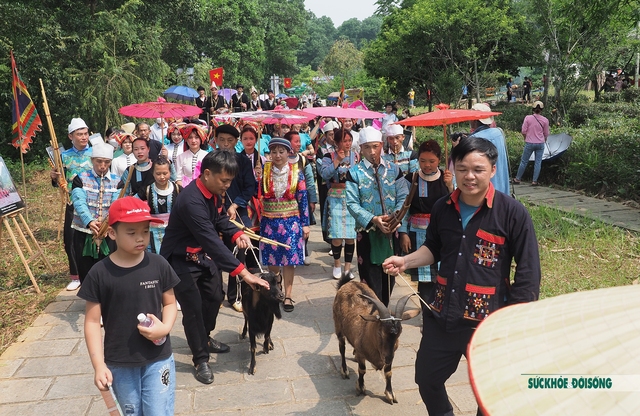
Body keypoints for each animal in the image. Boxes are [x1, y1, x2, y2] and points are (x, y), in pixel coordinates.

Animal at [332, 276, 422, 404]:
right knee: (342, 348)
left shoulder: (391, 353)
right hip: (338, 326)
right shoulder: (362, 353)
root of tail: (348, 283)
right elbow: (362, 370)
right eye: (381, 332)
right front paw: (360, 387)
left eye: (400, 332)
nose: (388, 358)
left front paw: (390, 394)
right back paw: (344, 370)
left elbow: (388, 372)